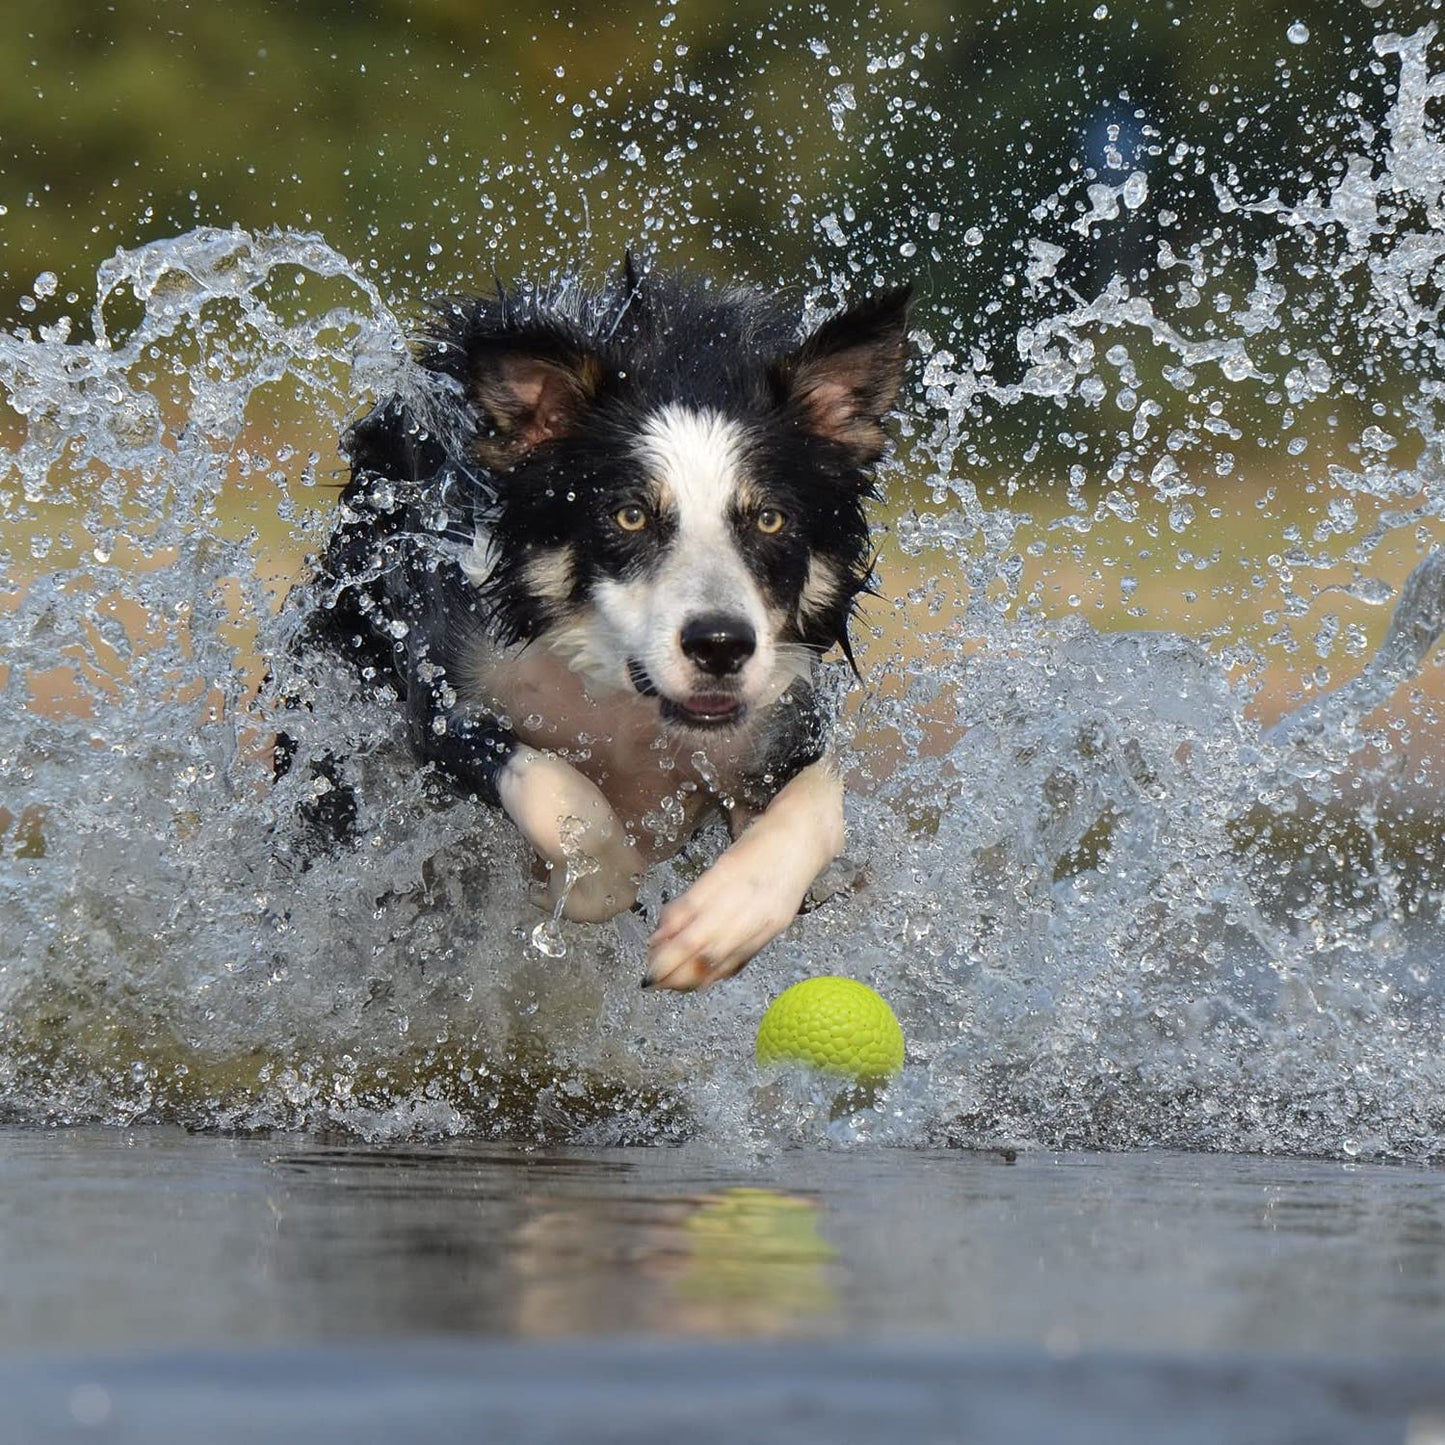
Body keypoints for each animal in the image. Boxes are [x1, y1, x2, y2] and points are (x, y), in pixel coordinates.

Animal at [287, 257, 907, 994]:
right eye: (629, 516)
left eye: (769, 519)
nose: (720, 646)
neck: (624, 700)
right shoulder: (442, 694)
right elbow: (561, 793)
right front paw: (591, 881)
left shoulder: (780, 719)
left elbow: (818, 801)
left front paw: (722, 922)